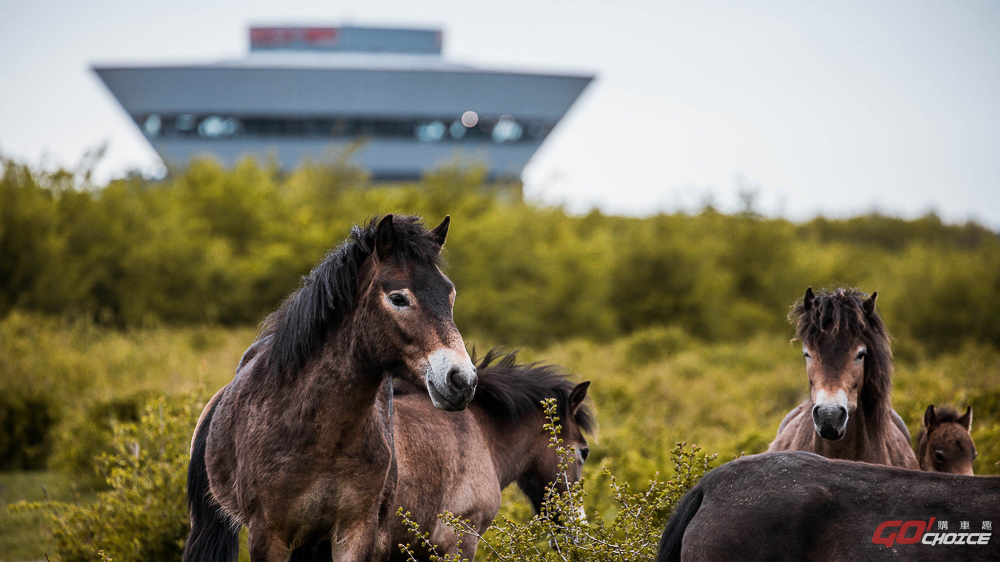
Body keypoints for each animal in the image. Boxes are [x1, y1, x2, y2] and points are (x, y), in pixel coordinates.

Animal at [184, 214, 480, 560]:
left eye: (450, 294)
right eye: (398, 298)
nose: (462, 379)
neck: (324, 436)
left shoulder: (356, 533)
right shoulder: (268, 535)